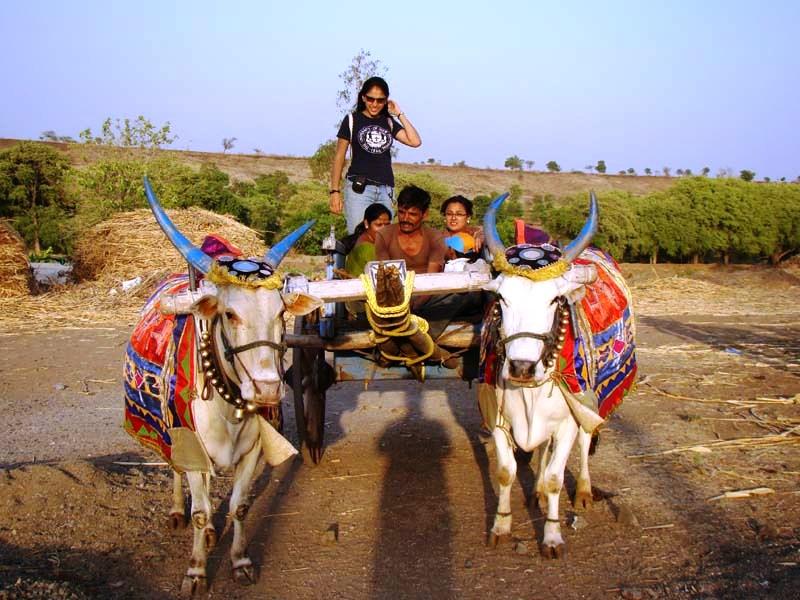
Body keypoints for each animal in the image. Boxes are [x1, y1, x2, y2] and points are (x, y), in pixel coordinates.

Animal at [123, 177, 322, 595]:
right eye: (230, 314)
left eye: (281, 313)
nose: (267, 389)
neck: (229, 407)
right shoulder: (192, 447)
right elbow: (201, 512)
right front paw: (197, 570)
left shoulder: (254, 451)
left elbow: (239, 506)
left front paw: (241, 561)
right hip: (170, 432)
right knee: (175, 471)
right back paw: (177, 511)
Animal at [480, 192, 636, 558]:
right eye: (501, 298)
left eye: (554, 299)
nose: (522, 368)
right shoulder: (499, 418)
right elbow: (506, 472)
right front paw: (501, 526)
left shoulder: (569, 419)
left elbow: (555, 477)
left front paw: (551, 537)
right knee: (543, 448)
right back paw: (536, 491)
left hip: (586, 403)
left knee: (584, 442)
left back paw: (583, 492)